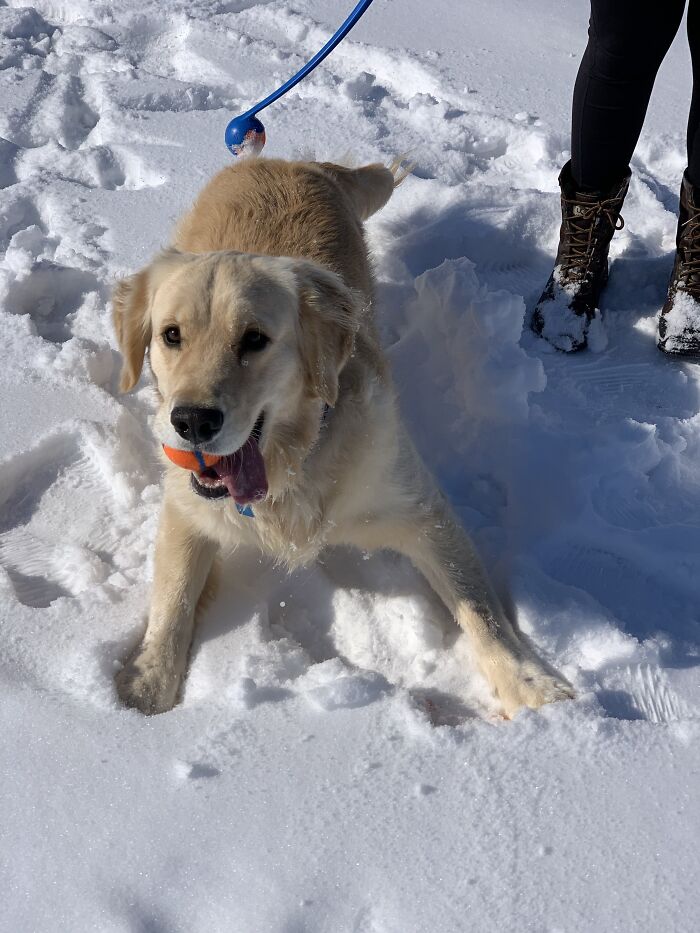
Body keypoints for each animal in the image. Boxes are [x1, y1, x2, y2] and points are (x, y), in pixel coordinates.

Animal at [112, 157, 576, 716]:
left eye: (255, 340)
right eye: (171, 335)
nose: (192, 422)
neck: (294, 466)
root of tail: (287, 161)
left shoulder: (421, 509)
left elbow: (480, 609)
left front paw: (531, 687)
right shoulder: (186, 508)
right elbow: (174, 596)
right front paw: (148, 682)